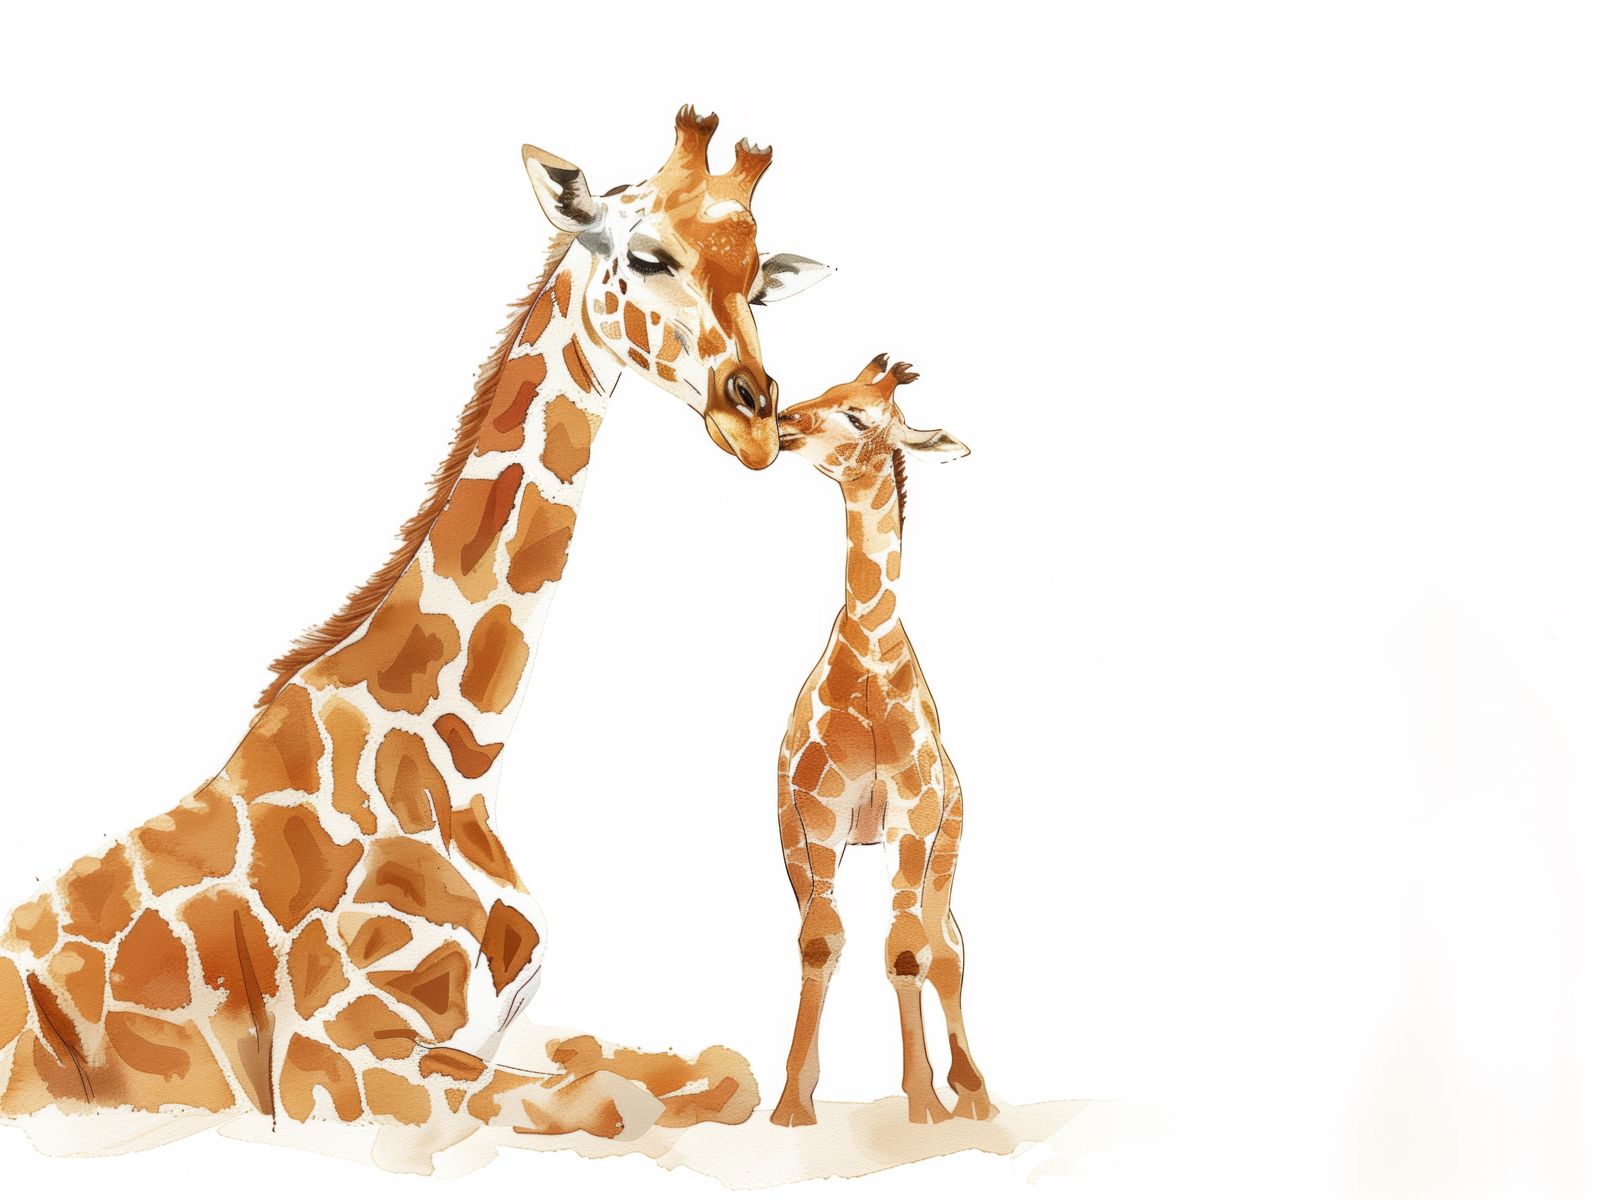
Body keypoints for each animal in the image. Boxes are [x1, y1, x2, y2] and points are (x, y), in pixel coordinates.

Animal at [0, 107, 830, 1168]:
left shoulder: (507, 1021)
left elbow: (714, 1071)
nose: (754, 416)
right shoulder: (327, 1061)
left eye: (760, 279)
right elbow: (609, 1100)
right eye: (646, 254)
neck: (465, 751)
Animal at [766, 356, 993, 1128]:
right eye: (827, 390)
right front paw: (791, 1104)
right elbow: (818, 941)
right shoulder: (816, 817)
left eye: (859, 415)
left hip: (948, 841)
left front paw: (924, 1103)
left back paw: (975, 1094)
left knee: (947, 943)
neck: (868, 656)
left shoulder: (913, 819)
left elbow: (907, 952)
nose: (779, 420)